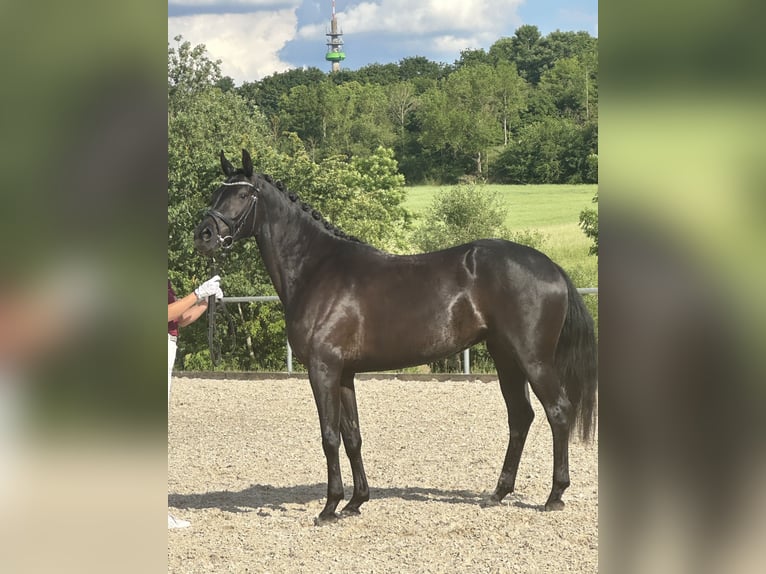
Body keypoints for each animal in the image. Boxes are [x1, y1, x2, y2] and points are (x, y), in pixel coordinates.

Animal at [193, 149, 597, 524]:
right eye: (216, 192)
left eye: (242, 194)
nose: (204, 235)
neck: (316, 269)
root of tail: (552, 267)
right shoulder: (344, 373)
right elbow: (352, 436)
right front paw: (355, 502)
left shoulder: (323, 369)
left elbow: (329, 436)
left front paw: (329, 507)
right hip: (505, 357)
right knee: (520, 417)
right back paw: (498, 493)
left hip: (532, 358)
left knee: (558, 411)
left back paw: (554, 495)